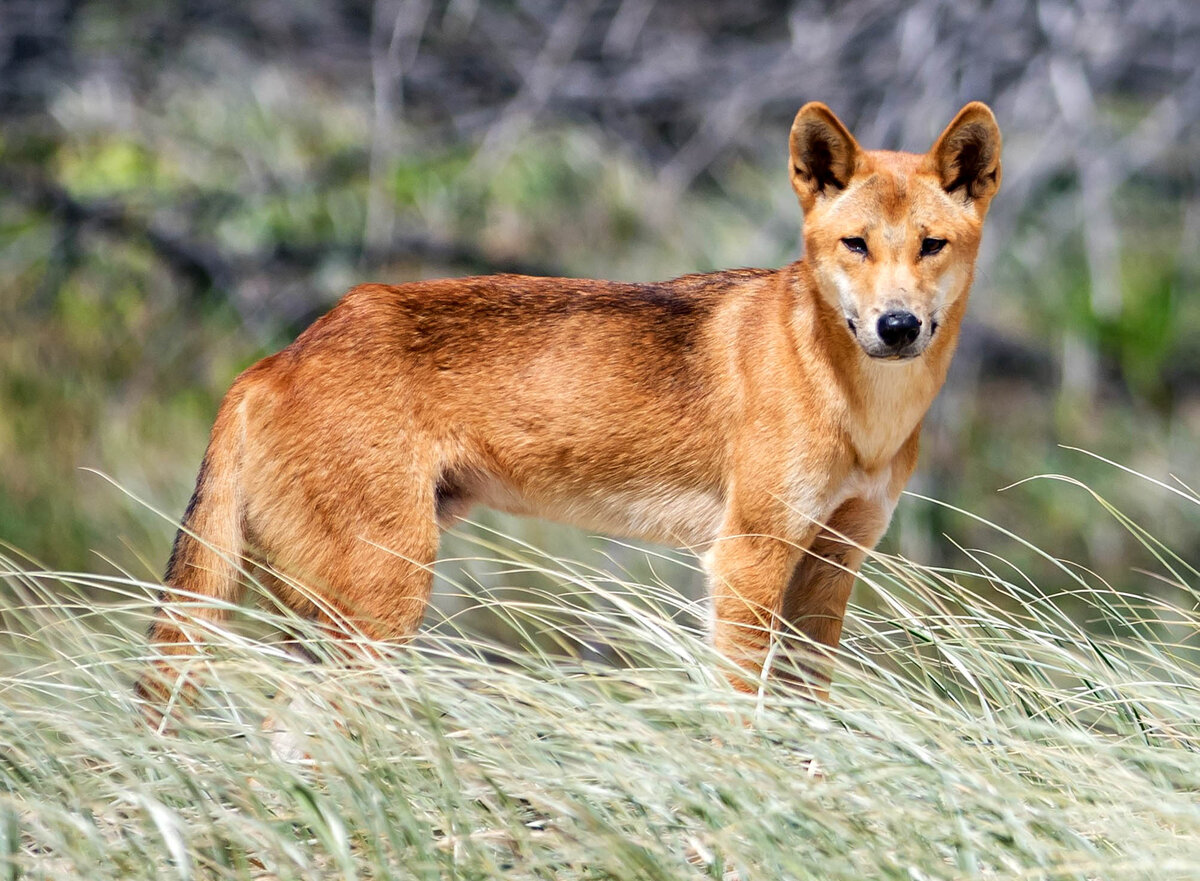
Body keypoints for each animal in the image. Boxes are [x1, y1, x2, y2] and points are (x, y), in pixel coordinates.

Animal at [136, 100, 1003, 720]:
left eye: (931, 245)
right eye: (856, 244)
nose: (898, 326)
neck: (859, 409)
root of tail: (268, 362)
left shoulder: (831, 564)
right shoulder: (747, 560)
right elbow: (744, 716)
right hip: (384, 602)